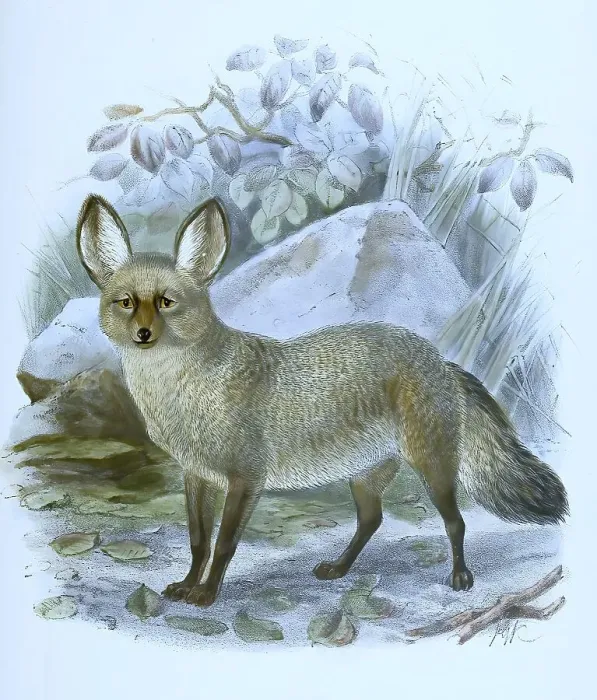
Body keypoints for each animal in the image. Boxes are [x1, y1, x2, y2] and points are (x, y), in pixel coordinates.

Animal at [76, 194, 569, 607]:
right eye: (126, 302)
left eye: (166, 302)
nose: (143, 334)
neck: (181, 393)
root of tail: (440, 359)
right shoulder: (196, 475)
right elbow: (197, 542)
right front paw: (186, 584)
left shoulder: (245, 478)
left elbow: (224, 544)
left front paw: (207, 593)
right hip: (365, 475)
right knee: (372, 520)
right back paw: (339, 568)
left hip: (432, 467)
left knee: (455, 521)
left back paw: (461, 577)